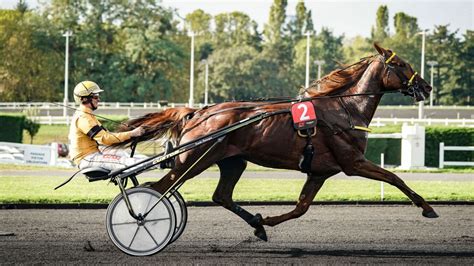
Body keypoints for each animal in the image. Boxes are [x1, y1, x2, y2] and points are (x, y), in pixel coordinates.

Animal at [114, 43, 436, 241]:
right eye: (403, 64)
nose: (427, 86)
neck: (345, 109)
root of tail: (199, 112)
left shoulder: (320, 171)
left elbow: (301, 207)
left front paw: (265, 222)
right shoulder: (353, 162)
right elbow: (395, 178)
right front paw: (427, 208)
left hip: (232, 161)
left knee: (220, 196)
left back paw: (256, 225)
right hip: (194, 160)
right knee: (158, 189)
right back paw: (141, 223)